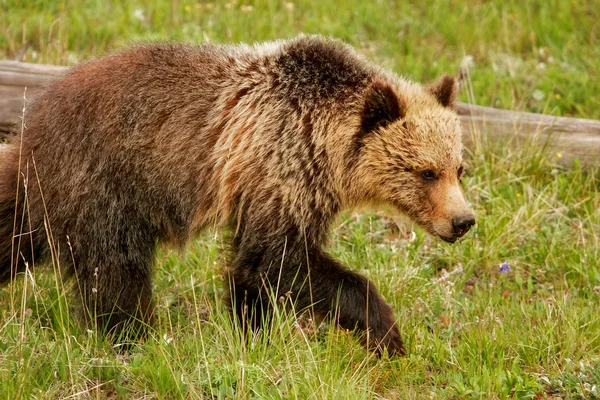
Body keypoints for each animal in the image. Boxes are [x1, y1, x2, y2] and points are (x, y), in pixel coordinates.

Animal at [1, 36, 474, 356]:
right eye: (426, 172)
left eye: (459, 167)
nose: (464, 221)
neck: (326, 147)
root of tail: (31, 127)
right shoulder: (281, 166)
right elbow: (278, 259)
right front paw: (387, 334)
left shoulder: (279, 188)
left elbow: (252, 269)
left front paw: (251, 331)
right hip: (104, 185)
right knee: (117, 273)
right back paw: (134, 337)